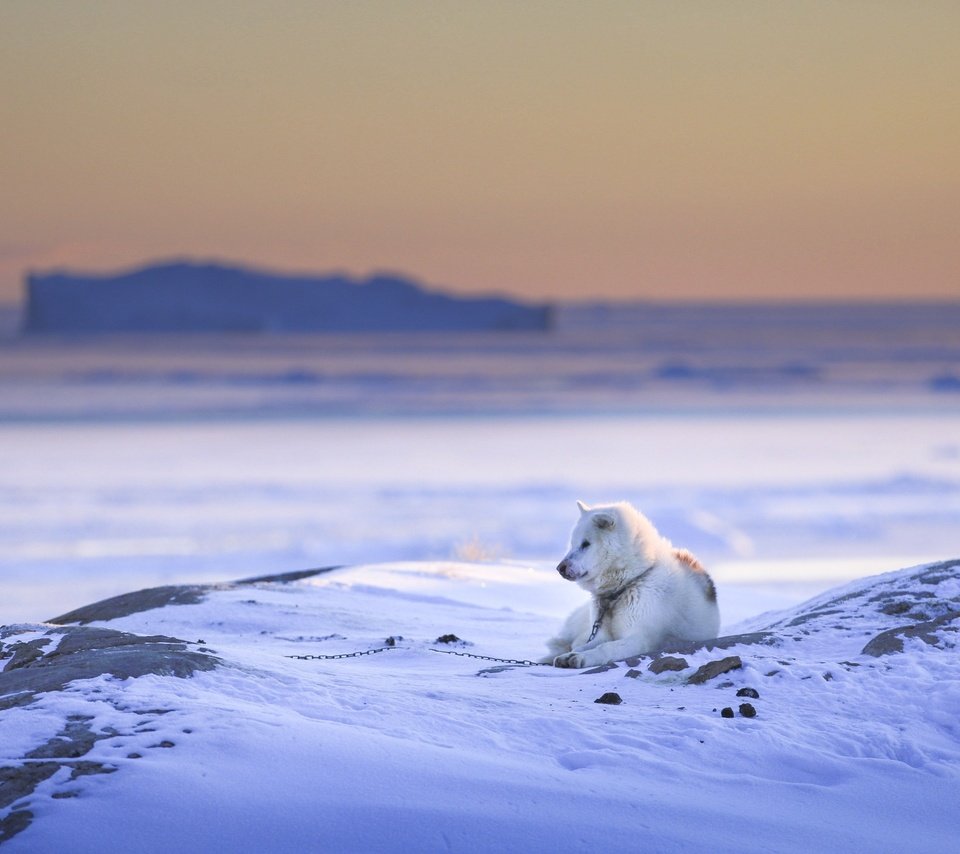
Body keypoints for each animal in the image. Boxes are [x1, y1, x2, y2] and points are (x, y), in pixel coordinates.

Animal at [544, 502, 716, 668]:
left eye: (586, 544)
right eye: (572, 544)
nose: (560, 568)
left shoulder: (639, 639)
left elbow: (606, 648)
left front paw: (582, 657)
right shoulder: (600, 635)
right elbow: (583, 646)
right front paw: (570, 655)